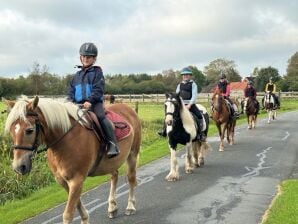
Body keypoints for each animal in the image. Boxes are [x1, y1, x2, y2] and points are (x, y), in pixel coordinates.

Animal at [4, 96, 141, 224]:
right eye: (11, 131)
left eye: (29, 130)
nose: (18, 167)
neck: (66, 140)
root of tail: (129, 109)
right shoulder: (63, 180)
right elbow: (77, 204)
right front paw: (85, 219)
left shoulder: (77, 180)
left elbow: (68, 214)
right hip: (111, 163)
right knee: (114, 176)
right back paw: (112, 208)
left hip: (132, 155)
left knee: (131, 178)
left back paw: (130, 207)